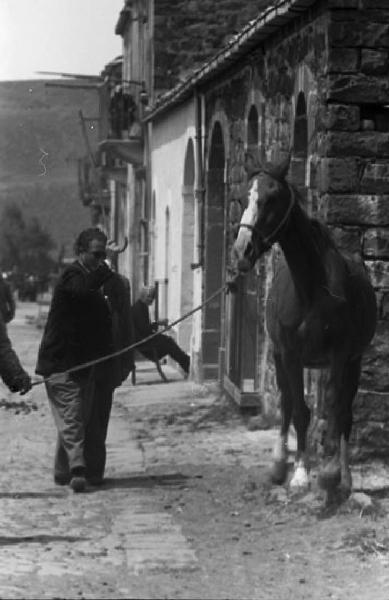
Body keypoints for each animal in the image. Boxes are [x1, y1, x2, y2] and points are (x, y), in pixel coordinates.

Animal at [232, 152, 374, 494]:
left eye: (272, 197)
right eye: (242, 197)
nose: (242, 251)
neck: (311, 289)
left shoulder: (340, 354)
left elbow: (335, 408)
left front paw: (331, 472)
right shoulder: (290, 354)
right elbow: (298, 410)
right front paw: (298, 473)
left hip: (351, 361)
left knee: (345, 411)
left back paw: (344, 477)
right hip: (280, 356)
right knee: (285, 402)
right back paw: (278, 463)